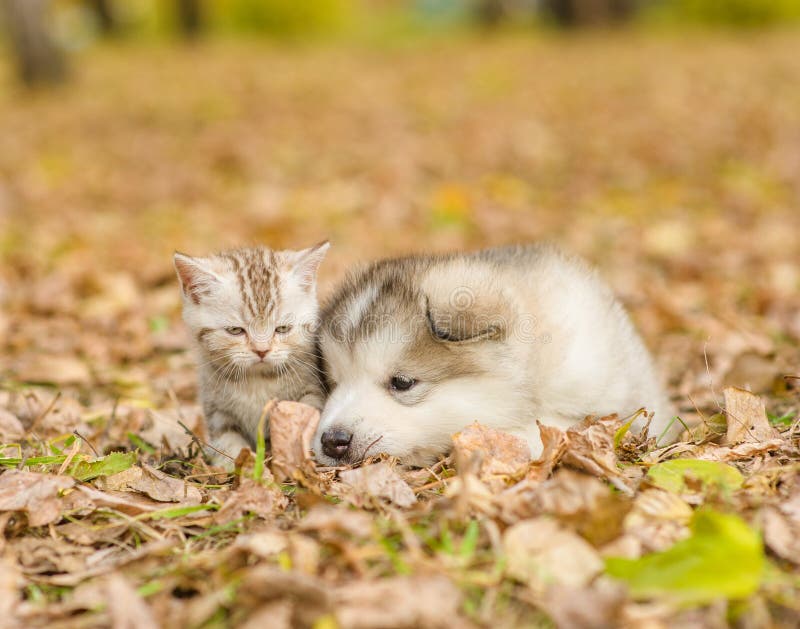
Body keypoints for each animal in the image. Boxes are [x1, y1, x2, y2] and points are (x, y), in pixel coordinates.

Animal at [174, 243, 328, 464]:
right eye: (235, 330)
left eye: (282, 329)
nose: (261, 350)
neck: (257, 380)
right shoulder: (216, 407)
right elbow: (226, 439)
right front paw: (234, 466)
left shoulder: (312, 389)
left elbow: (303, 417)